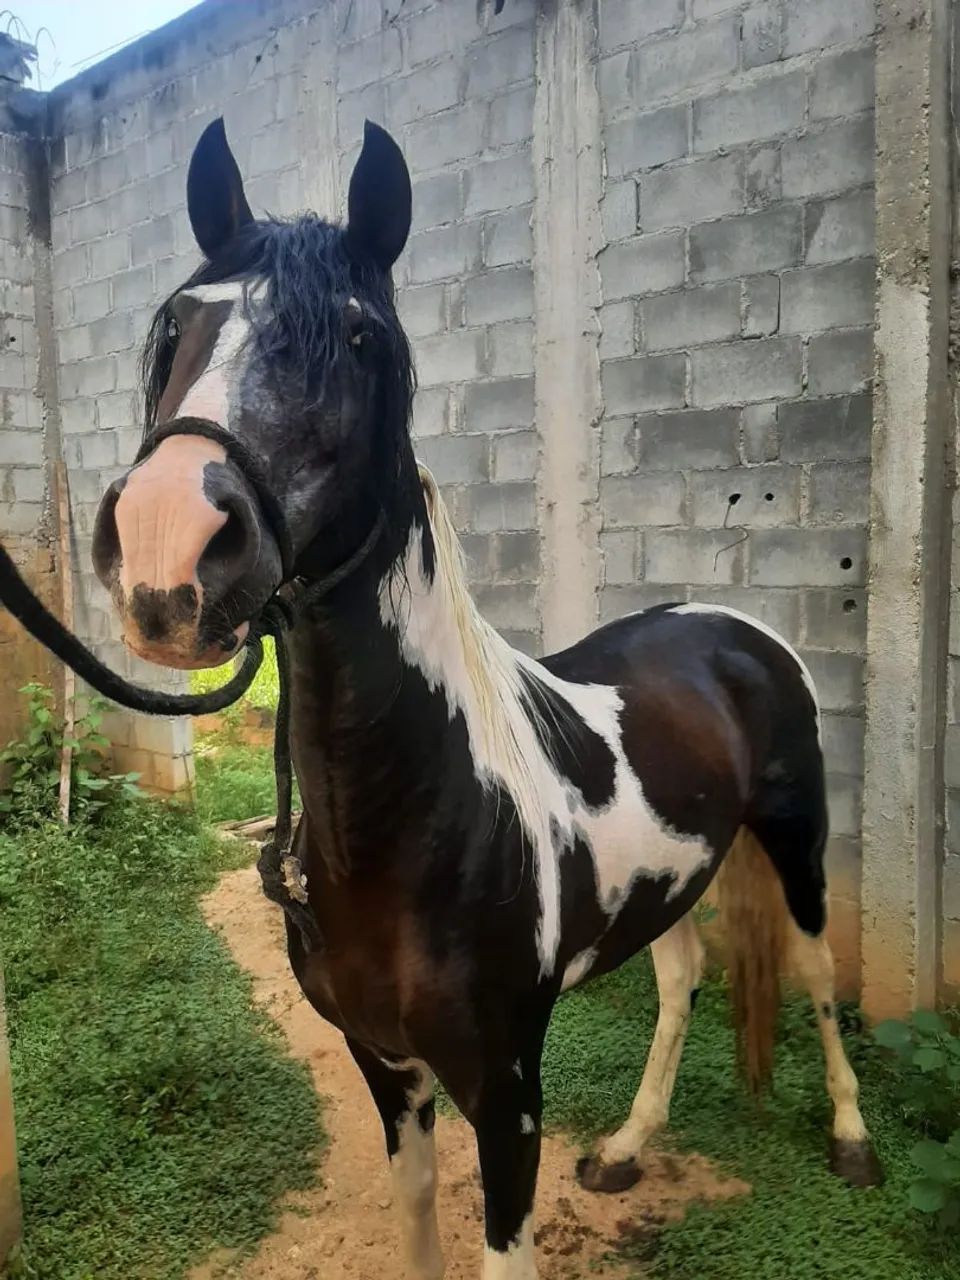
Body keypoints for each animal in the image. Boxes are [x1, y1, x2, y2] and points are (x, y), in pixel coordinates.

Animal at [83, 118, 880, 1278]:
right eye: (178, 324)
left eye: (359, 337)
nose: (163, 550)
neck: (425, 818)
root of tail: (733, 624)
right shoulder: (385, 1066)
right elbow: (416, 1210)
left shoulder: (506, 1099)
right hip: (672, 874)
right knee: (680, 972)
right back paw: (628, 1147)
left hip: (798, 842)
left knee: (818, 978)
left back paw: (853, 1139)